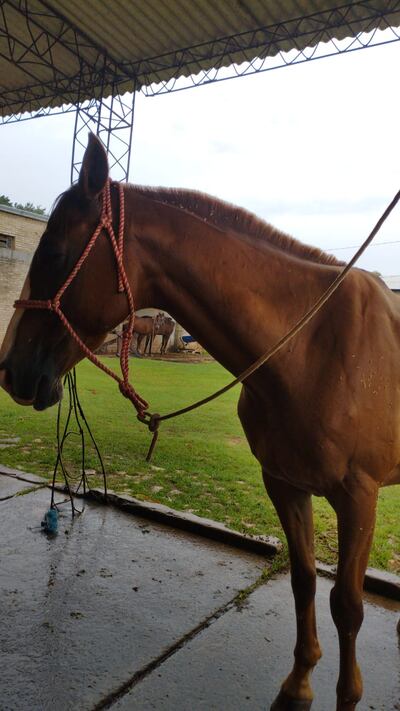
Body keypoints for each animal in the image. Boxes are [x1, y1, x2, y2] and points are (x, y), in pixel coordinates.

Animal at [0, 134, 399, 711]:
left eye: (53, 252)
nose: (9, 369)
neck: (311, 346)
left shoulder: (358, 497)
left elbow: (347, 605)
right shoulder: (285, 484)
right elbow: (303, 580)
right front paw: (299, 684)